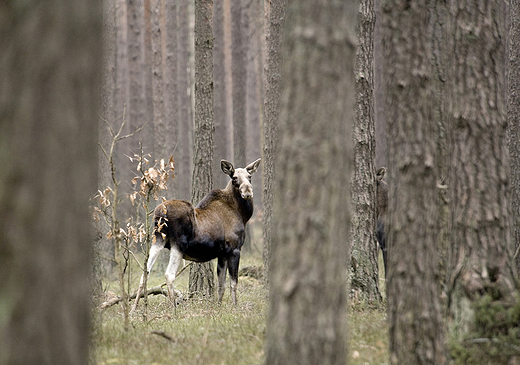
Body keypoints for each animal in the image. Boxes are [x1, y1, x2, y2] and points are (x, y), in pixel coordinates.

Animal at [130, 158, 260, 308]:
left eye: (249, 177)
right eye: (234, 178)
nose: (248, 192)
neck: (243, 214)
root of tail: (159, 214)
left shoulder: (222, 253)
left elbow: (221, 285)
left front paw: (219, 306)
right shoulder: (234, 249)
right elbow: (234, 283)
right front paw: (235, 307)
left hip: (158, 240)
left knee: (145, 273)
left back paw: (134, 308)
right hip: (178, 244)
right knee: (169, 275)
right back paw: (173, 308)